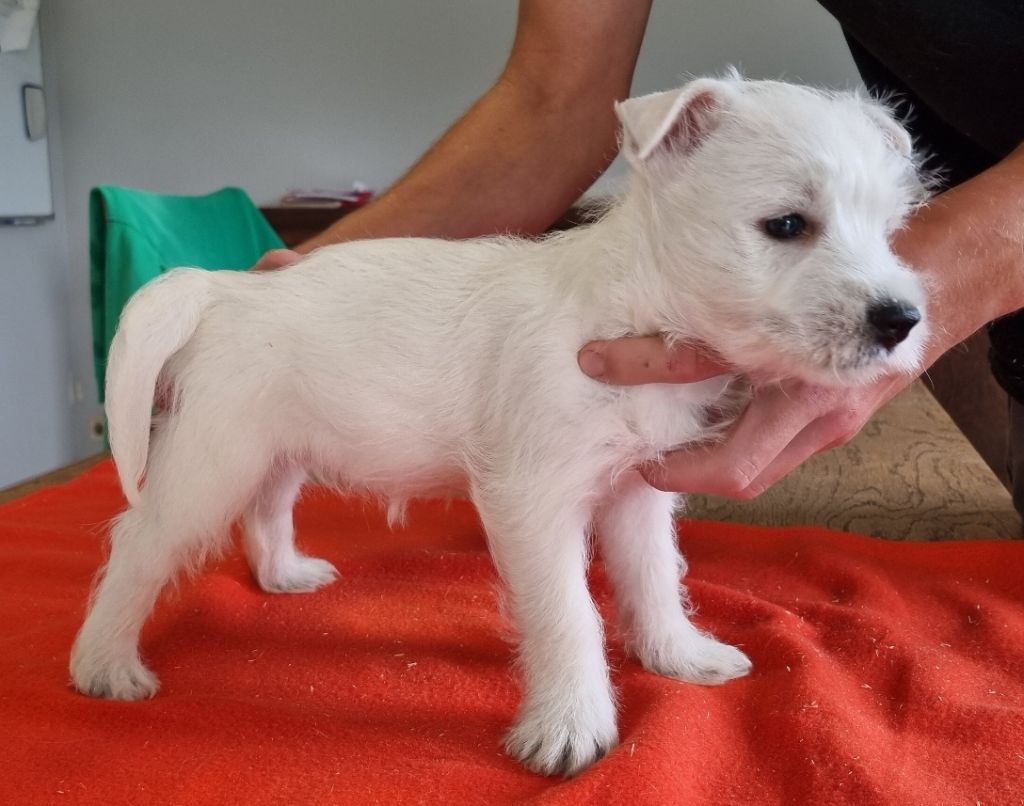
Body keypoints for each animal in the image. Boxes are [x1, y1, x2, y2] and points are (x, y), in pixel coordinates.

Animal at [71, 74, 929, 777]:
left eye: (886, 230)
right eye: (786, 224)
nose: (902, 320)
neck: (628, 303)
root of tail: (224, 290)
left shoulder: (635, 491)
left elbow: (655, 577)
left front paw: (679, 655)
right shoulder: (534, 500)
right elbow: (569, 613)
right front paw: (571, 727)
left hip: (275, 446)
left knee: (267, 508)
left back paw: (284, 574)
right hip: (213, 457)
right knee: (140, 543)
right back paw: (106, 664)